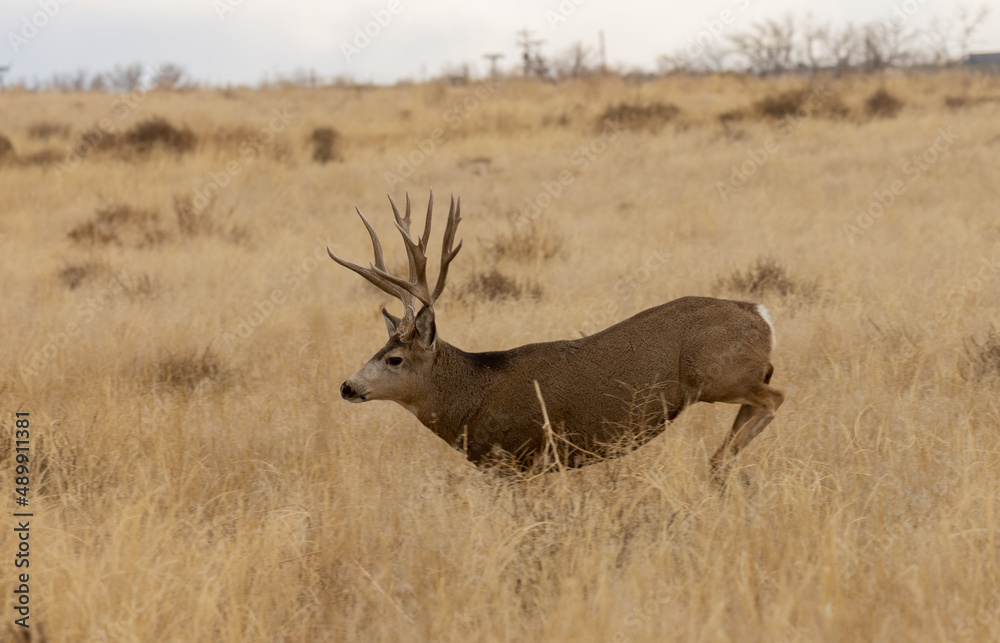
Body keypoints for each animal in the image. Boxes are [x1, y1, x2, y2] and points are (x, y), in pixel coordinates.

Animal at [328, 191, 784, 482]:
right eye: (380, 348)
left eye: (395, 359)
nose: (347, 386)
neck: (473, 396)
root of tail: (760, 314)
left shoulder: (522, 458)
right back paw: (722, 467)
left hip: (718, 376)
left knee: (774, 398)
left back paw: (720, 466)